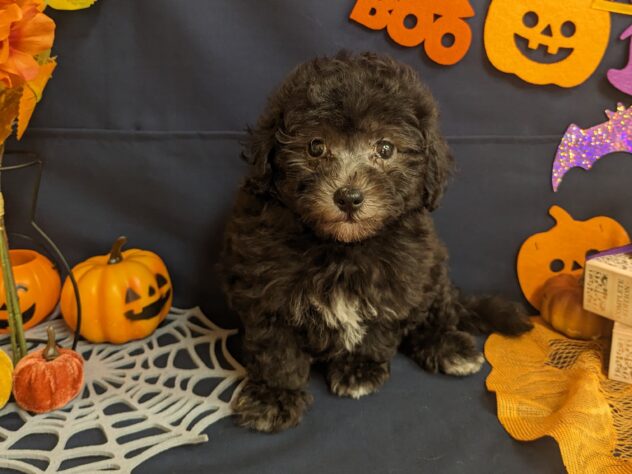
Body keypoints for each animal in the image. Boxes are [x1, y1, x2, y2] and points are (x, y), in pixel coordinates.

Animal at [220, 51, 532, 434]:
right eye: (315, 146)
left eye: (385, 148)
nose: (349, 197)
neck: (341, 247)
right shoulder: (265, 288)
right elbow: (276, 349)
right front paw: (273, 396)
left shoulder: (400, 277)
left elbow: (378, 326)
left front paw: (359, 369)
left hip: (432, 268)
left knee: (435, 313)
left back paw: (446, 346)